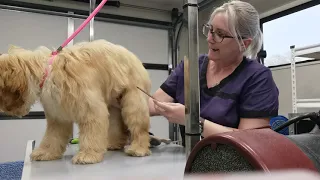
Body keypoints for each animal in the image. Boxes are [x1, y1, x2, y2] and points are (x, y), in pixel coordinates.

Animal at [0, 39, 152, 165]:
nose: (4, 111)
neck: (48, 71)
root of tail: (135, 58)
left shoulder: (91, 109)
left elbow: (91, 131)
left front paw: (88, 155)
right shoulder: (57, 115)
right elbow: (52, 136)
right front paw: (46, 152)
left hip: (133, 99)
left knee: (139, 126)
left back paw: (139, 148)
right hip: (113, 102)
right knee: (116, 124)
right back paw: (114, 143)